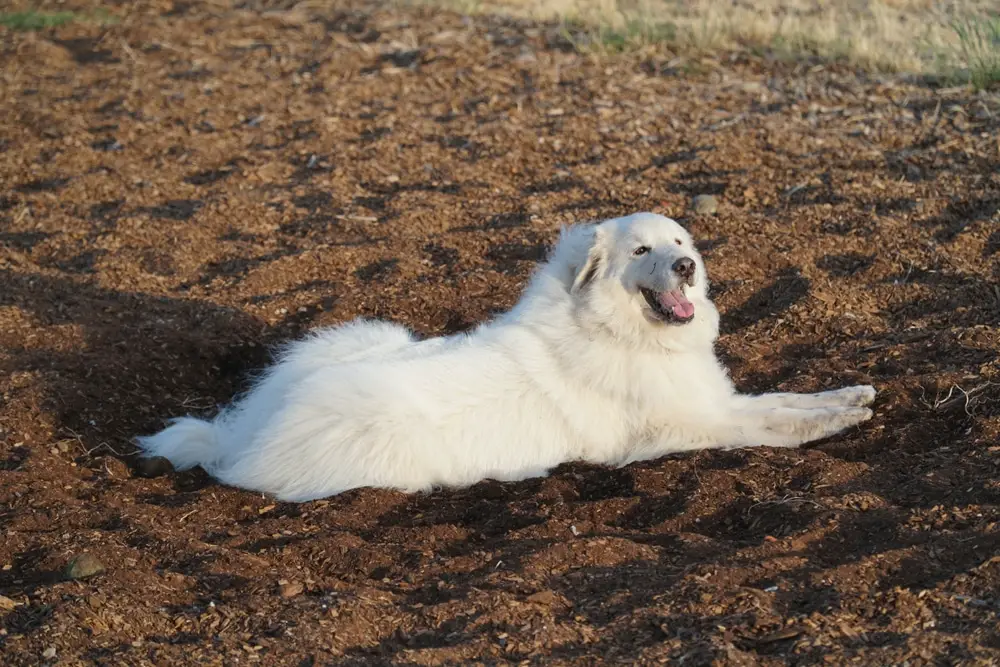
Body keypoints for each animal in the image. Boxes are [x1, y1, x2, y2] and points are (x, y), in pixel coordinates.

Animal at [135, 214, 876, 500]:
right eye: (642, 251)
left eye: (679, 242)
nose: (687, 267)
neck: (619, 331)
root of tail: (238, 437)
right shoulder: (698, 424)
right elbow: (774, 426)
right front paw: (836, 421)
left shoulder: (716, 399)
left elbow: (785, 398)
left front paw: (851, 395)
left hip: (369, 333)